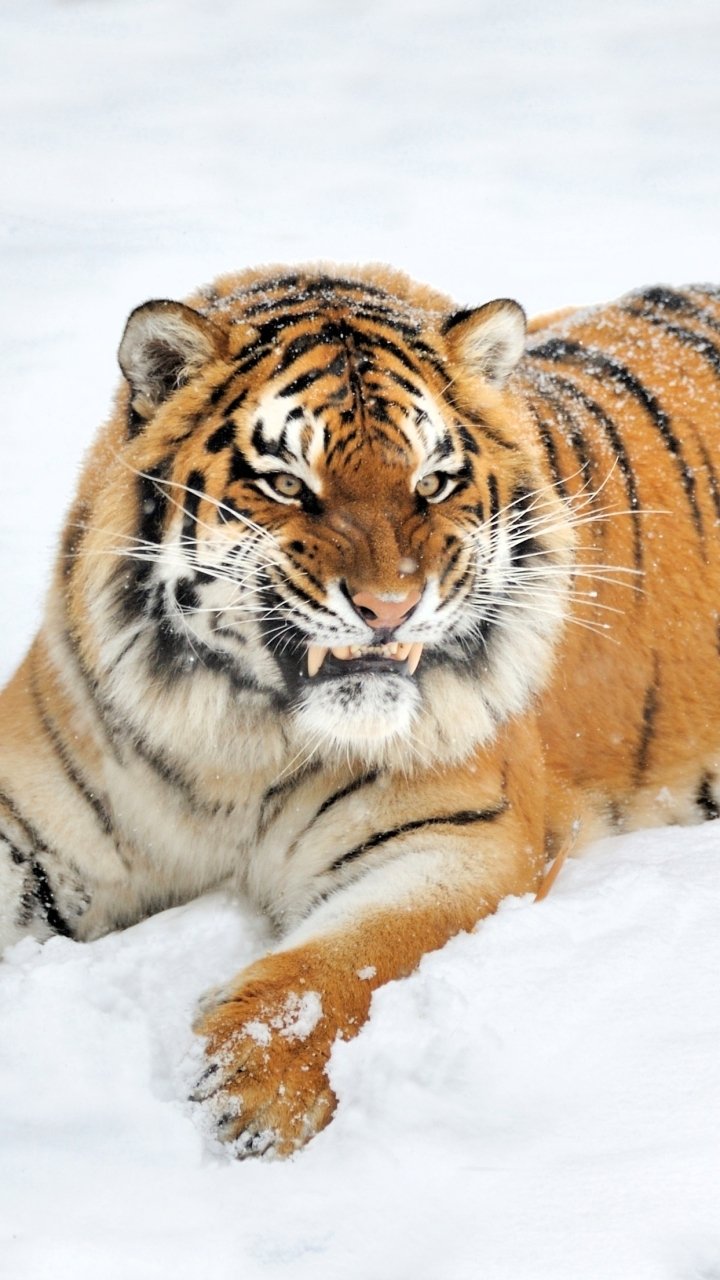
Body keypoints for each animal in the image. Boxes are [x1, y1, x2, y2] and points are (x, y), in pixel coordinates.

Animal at [2, 263, 720, 1158]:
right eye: (286, 483)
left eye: (433, 483)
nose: (390, 609)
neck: (236, 747)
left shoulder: (464, 837)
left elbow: (349, 961)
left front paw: (250, 1095)